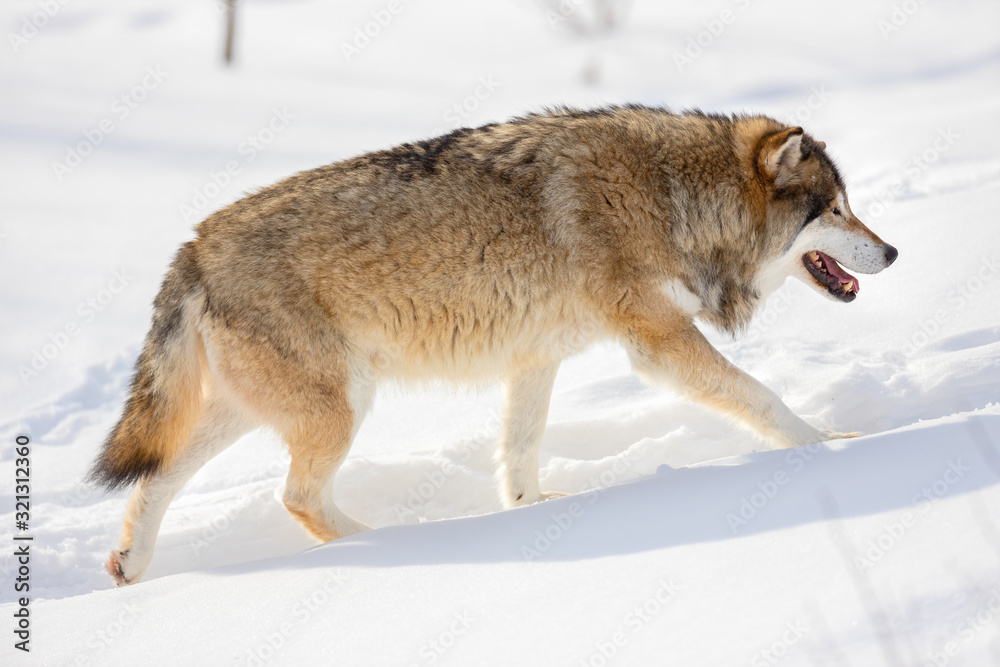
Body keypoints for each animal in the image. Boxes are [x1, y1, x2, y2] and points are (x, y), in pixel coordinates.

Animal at [86, 104, 900, 584]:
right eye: (836, 210)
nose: (893, 252)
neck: (674, 198)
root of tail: (194, 247)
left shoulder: (535, 358)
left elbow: (520, 453)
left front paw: (528, 515)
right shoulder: (659, 342)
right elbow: (762, 398)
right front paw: (832, 446)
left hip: (256, 411)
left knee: (157, 479)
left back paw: (131, 564)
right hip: (338, 408)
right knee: (296, 496)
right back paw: (391, 545)